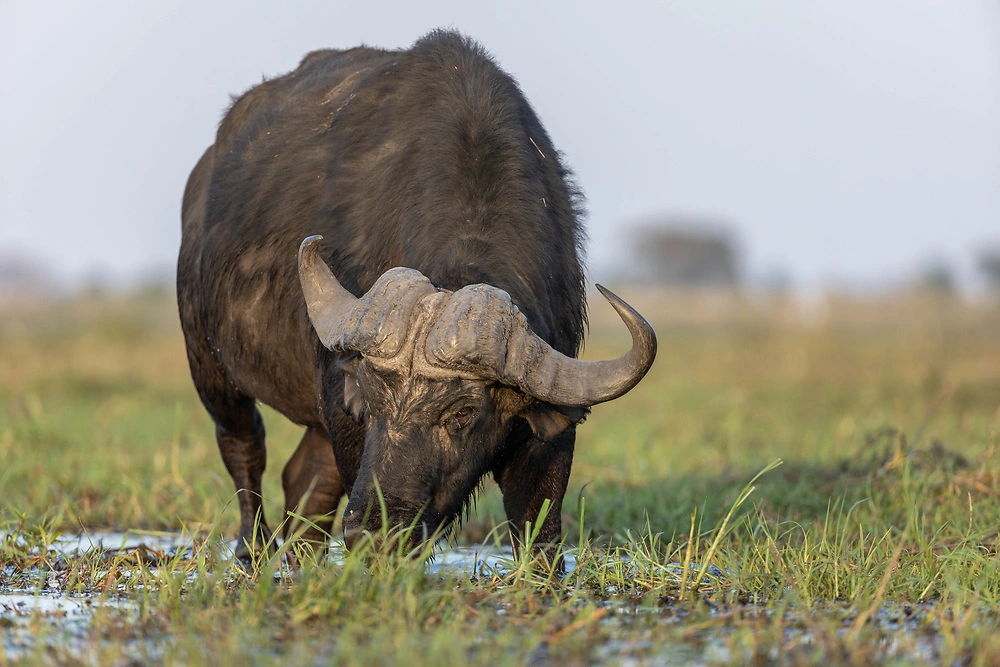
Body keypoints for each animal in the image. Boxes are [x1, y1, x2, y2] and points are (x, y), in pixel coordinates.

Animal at [179, 30, 656, 560]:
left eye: (463, 412)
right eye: (371, 399)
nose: (373, 531)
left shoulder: (551, 420)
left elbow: (540, 529)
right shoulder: (342, 407)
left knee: (305, 478)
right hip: (210, 367)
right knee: (245, 447)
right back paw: (251, 551)